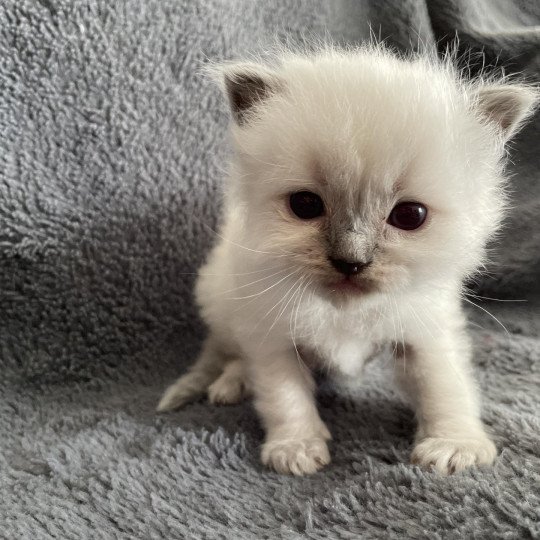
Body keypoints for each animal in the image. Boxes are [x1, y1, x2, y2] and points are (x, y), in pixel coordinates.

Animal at [157, 46, 536, 476]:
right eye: (305, 205)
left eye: (411, 216)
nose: (351, 262)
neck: (344, 312)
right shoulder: (272, 335)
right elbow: (285, 396)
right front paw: (296, 448)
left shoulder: (425, 327)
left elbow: (444, 384)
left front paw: (455, 446)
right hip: (225, 299)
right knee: (230, 352)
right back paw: (230, 385)